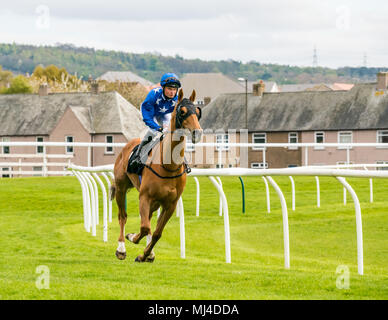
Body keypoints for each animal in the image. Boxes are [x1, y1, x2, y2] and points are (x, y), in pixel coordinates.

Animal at [108, 89, 202, 262]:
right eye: (182, 111)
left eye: (197, 112)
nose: (197, 133)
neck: (169, 166)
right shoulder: (144, 197)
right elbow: (144, 227)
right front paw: (132, 237)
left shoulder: (170, 204)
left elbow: (157, 232)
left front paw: (145, 254)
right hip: (121, 188)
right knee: (122, 216)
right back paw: (121, 248)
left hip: (155, 202)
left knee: (149, 219)